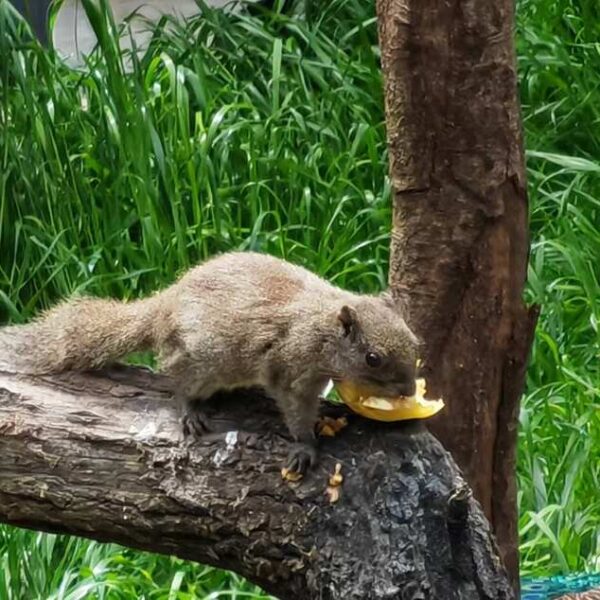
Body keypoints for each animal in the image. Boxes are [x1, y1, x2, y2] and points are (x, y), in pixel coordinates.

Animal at [0, 250, 418, 474]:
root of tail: (163, 307)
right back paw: (190, 410)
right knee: (179, 382)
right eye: (373, 358)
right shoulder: (290, 367)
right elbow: (295, 410)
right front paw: (305, 446)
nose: (409, 390)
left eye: (415, 342)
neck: (323, 327)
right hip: (202, 361)